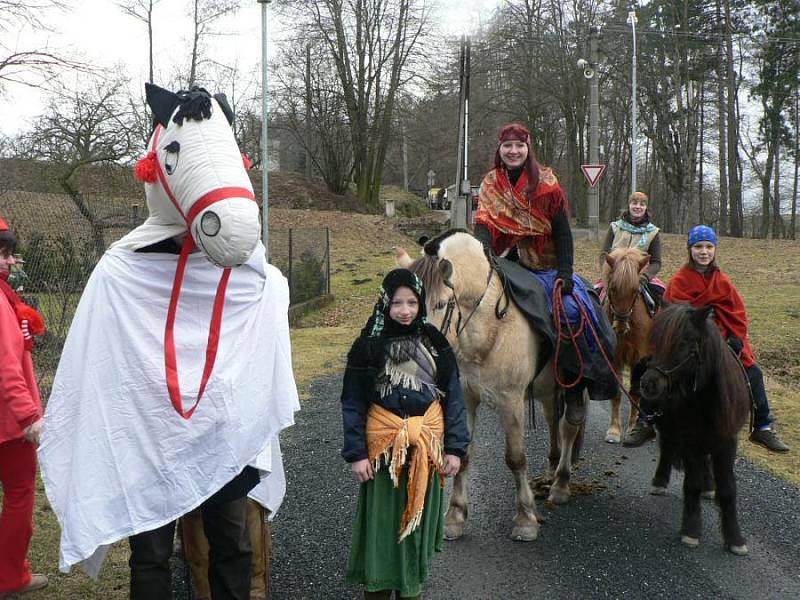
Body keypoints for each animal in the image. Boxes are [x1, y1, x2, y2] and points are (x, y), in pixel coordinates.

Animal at [636, 308, 752, 556]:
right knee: (667, 447)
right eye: (655, 341)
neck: (706, 398)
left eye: (682, 343)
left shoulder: (727, 441)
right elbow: (692, 484)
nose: (648, 384)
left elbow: (728, 489)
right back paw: (660, 482)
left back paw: (709, 485)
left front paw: (735, 538)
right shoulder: (689, 440)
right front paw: (691, 530)